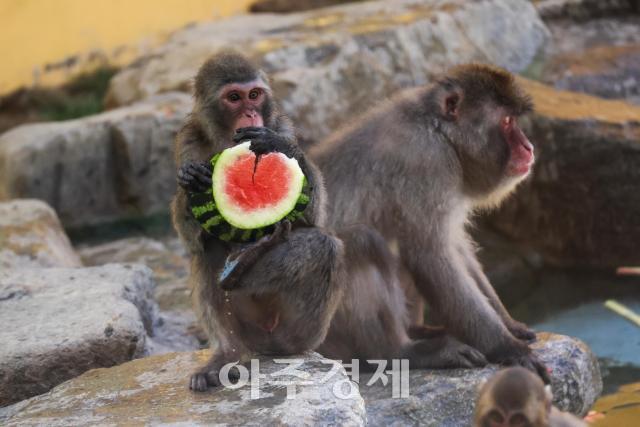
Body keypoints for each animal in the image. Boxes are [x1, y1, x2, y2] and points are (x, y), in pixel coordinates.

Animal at [171, 51, 345, 391]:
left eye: (254, 95)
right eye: (234, 98)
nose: (251, 114)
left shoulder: (281, 125)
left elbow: (314, 216)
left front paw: (286, 149)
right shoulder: (187, 140)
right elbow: (191, 240)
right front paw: (190, 182)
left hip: (297, 331)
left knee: (324, 245)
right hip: (246, 329)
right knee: (205, 253)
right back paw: (226, 353)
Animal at [311, 63, 549, 382]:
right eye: (507, 121)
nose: (528, 147)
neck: (439, 131)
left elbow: (456, 248)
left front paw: (510, 326)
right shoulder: (427, 163)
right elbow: (431, 256)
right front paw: (507, 347)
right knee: (361, 242)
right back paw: (400, 353)